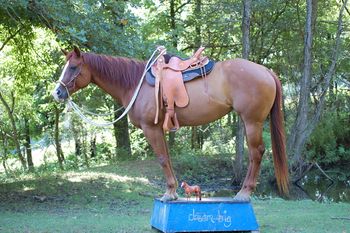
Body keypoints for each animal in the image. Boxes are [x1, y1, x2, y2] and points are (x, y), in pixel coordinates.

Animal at [51, 46, 288, 202]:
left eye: (73, 67)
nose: (58, 92)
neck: (135, 84)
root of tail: (266, 71)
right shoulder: (160, 129)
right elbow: (168, 158)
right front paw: (173, 192)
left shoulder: (151, 128)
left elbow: (162, 159)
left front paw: (168, 193)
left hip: (252, 121)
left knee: (256, 153)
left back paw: (243, 193)